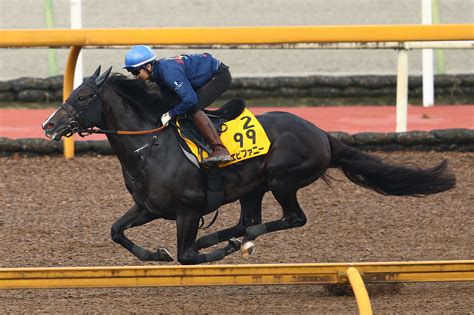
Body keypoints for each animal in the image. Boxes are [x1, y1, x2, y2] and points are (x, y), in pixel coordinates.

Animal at [42, 68, 458, 266]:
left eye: (84, 95)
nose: (48, 125)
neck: (150, 146)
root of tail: (321, 133)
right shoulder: (149, 208)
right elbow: (116, 231)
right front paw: (154, 254)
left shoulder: (187, 210)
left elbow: (186, 255)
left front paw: (209, 251)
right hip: (252, 188)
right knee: (246, 220)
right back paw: (228, 237)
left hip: (282, 179)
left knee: (290, 218)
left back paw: (240, 240)